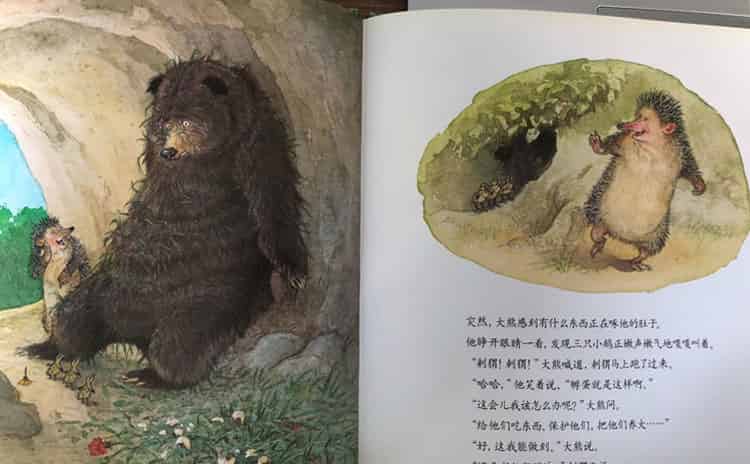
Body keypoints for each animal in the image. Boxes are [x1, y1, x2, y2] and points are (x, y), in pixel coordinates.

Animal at [23, 57, 309, 388]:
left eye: (187, 122)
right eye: (164, 123)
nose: (169, 151)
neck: (212, 153)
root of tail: (136, 333)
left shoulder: (257, 143)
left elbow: (273, 197)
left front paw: (294, 272)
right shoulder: (158, 168)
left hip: (211, 295)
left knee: (180, 341)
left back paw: (152, 375)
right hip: (107, 291)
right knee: (77, 316)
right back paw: (49, 347)